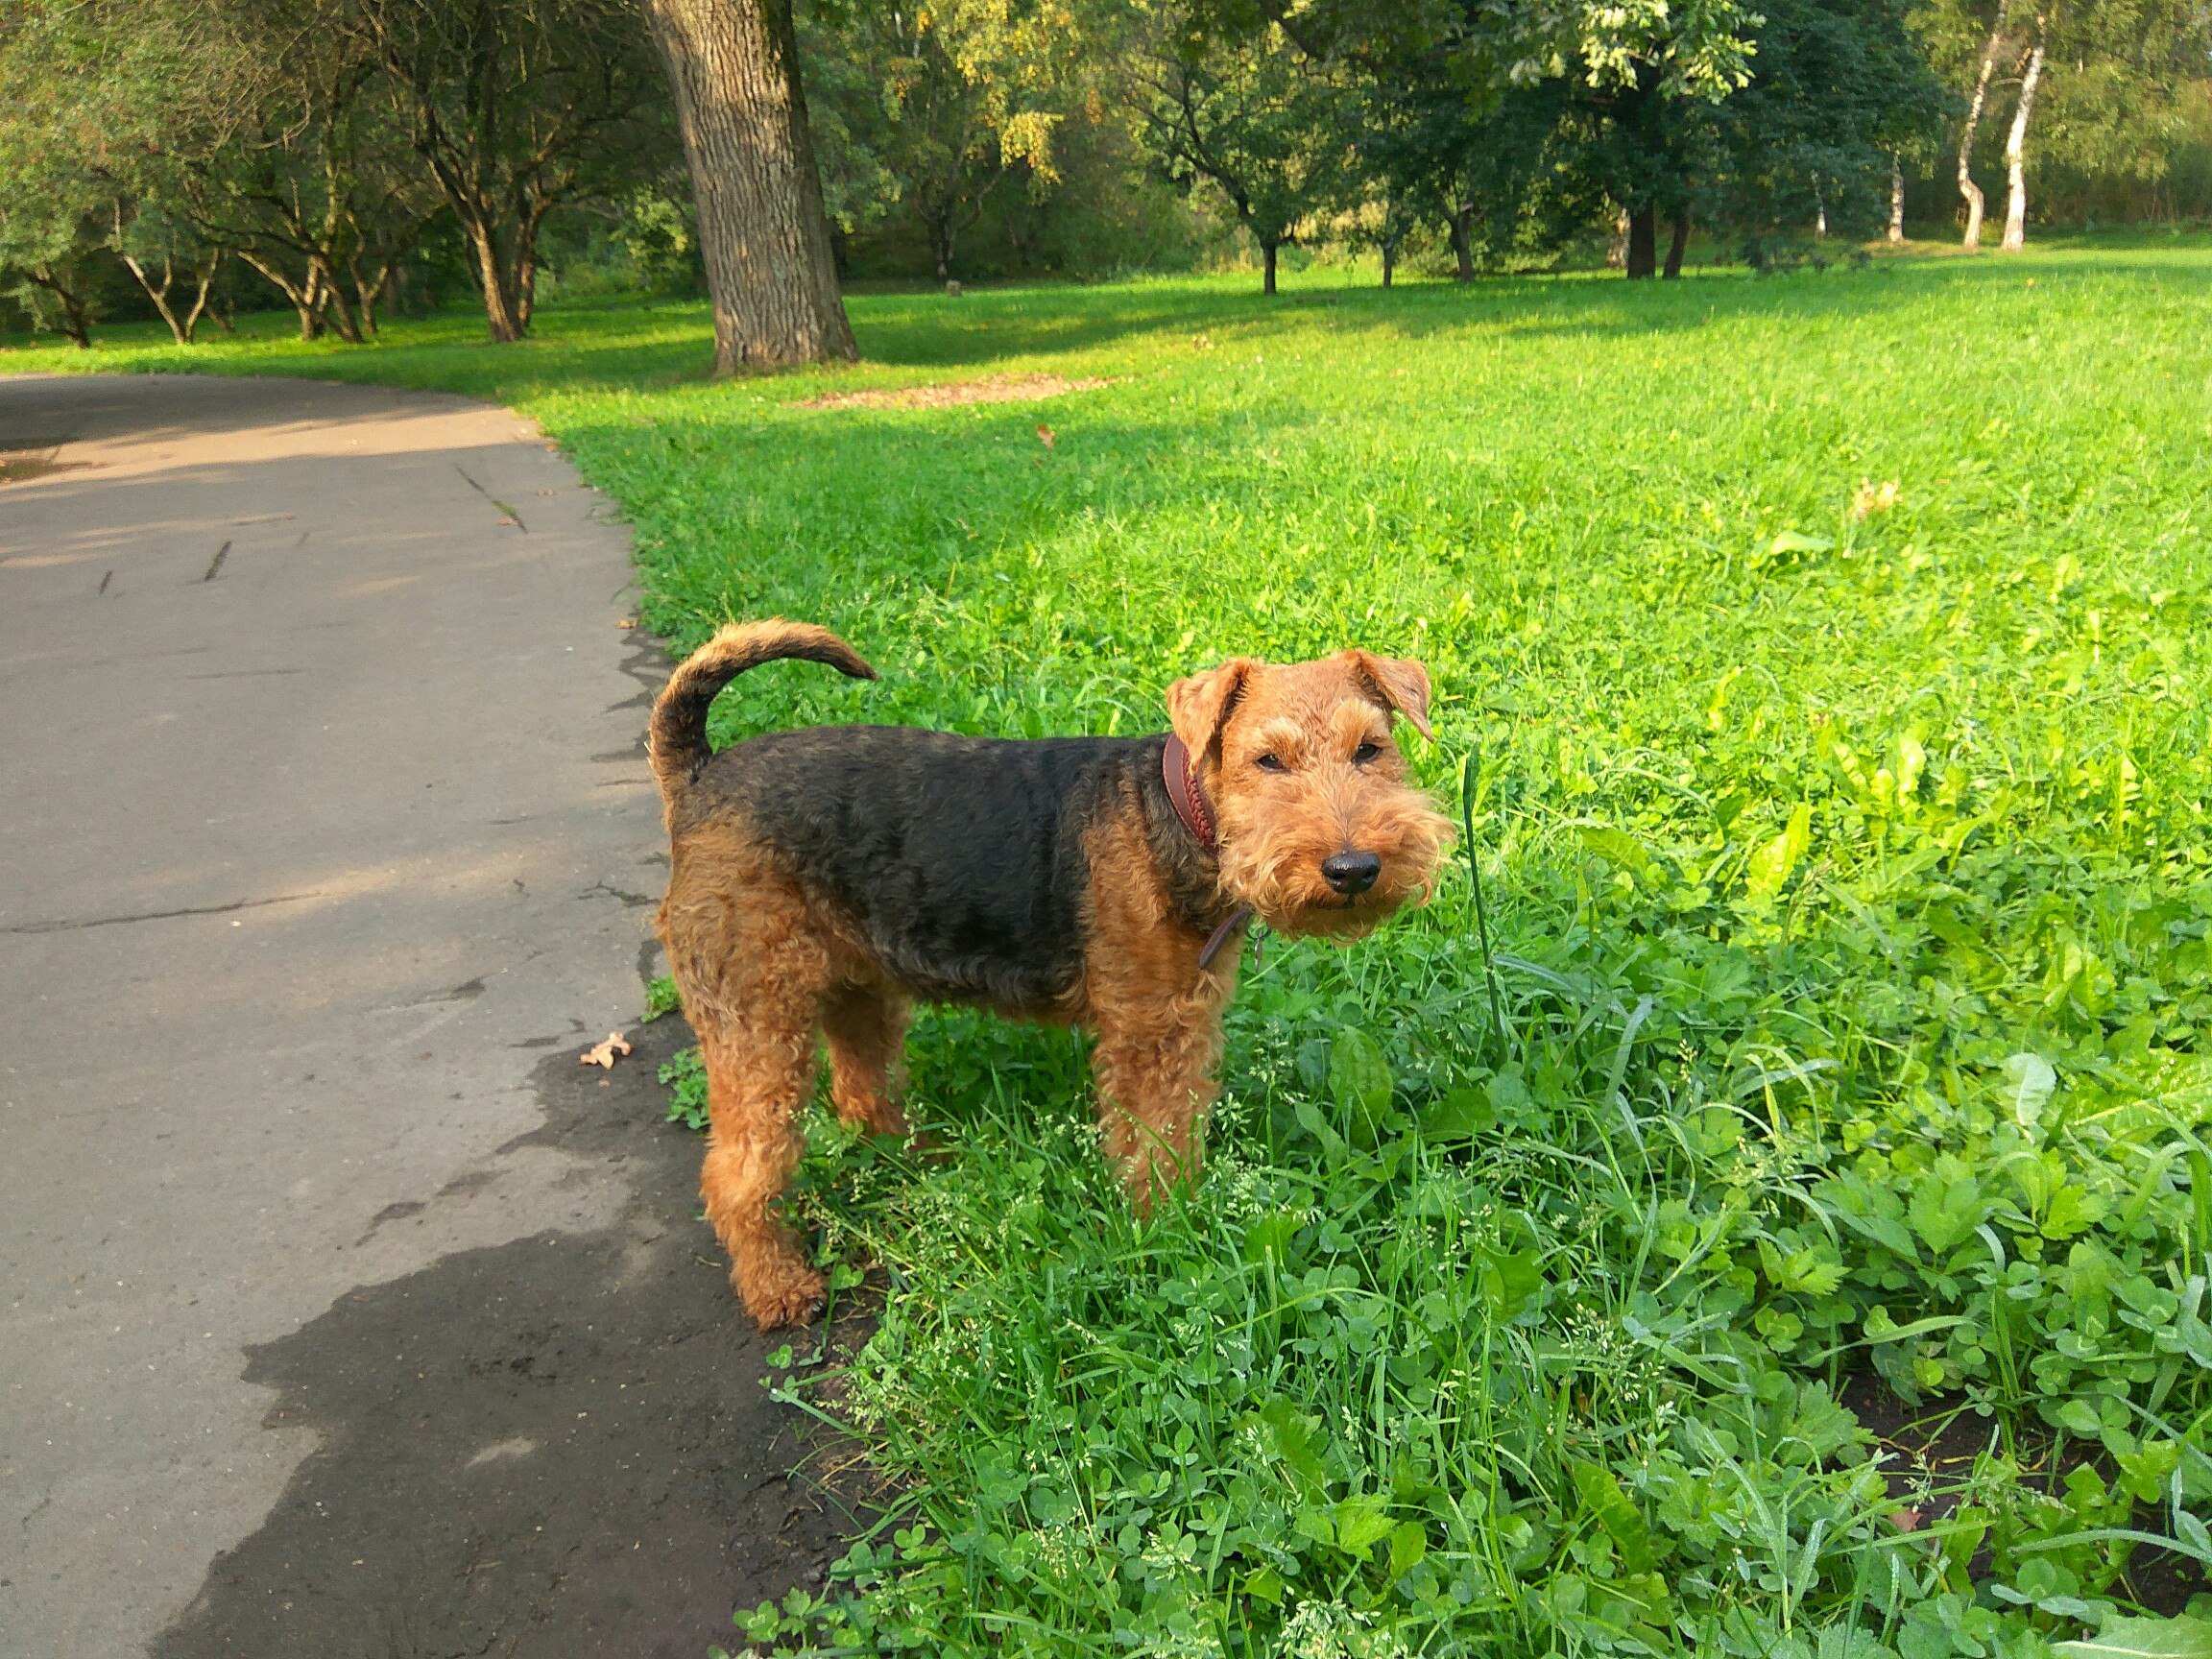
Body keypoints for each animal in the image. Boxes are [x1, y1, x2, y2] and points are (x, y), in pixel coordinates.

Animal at [649, 620, 1452, 1329]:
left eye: (1370, 749)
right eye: (1268, 760)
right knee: (739, 1174)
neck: (1179, 814)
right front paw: (1172, 1234)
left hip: (858, 985)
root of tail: (699, 777)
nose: (1354, 869)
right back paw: (780, 1288)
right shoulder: (1149, 1035)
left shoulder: (1185, 1023)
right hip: (757, 1024)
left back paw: (915, 1159)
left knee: (859, 1090)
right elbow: (1156, 1145)